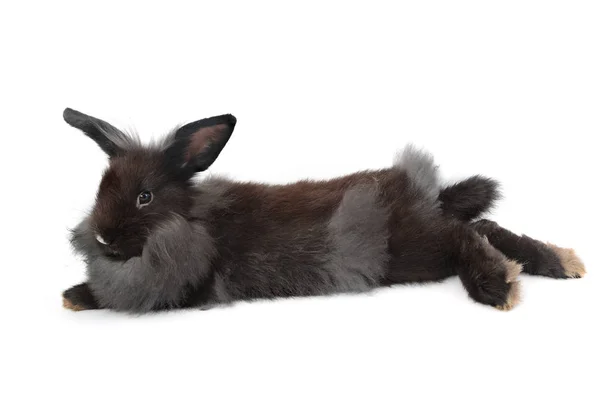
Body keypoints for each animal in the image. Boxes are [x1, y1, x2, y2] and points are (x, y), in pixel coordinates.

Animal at [61, 108, 584, 312]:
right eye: (101, 189)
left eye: (145, 197)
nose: (103, 237)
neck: (189, 223)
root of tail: (426, 194)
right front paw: (72, 292)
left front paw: (76, 295)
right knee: (484, 224)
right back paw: (562, 262)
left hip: (415, 250)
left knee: (466, 235)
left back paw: (499, 284)